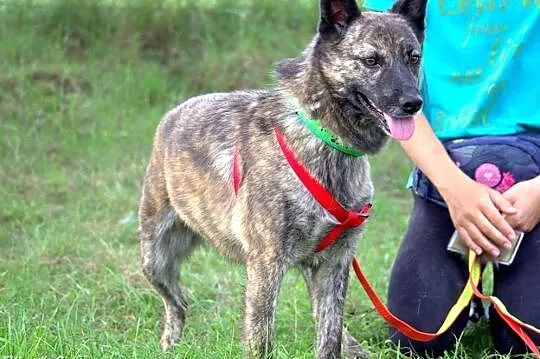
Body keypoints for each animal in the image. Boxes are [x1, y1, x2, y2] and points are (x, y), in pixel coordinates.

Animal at [139, 0, 426, 358]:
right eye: (371, 60)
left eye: (413, 57)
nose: (413, 104)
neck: (325, 139)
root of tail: (173, 114)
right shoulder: (266, 265)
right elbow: (261, 339)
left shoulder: (334, 265)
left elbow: (329, 338)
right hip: (155, 259)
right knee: (177, 305)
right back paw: (170, 346)